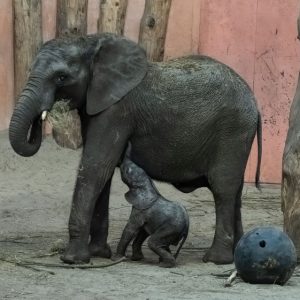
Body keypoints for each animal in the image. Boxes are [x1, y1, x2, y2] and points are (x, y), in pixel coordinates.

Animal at [8, 33, 262, 264]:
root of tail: (256, 104)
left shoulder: (117, 111)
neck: (91, 42)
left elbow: (95, 168)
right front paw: (98, 254)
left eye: (61, 77)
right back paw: (237, 252)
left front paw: (73, 260)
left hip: (233, 131)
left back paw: (216, 260)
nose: (42, 117)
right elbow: (104, 173)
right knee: (236, 190)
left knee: (223, 188)